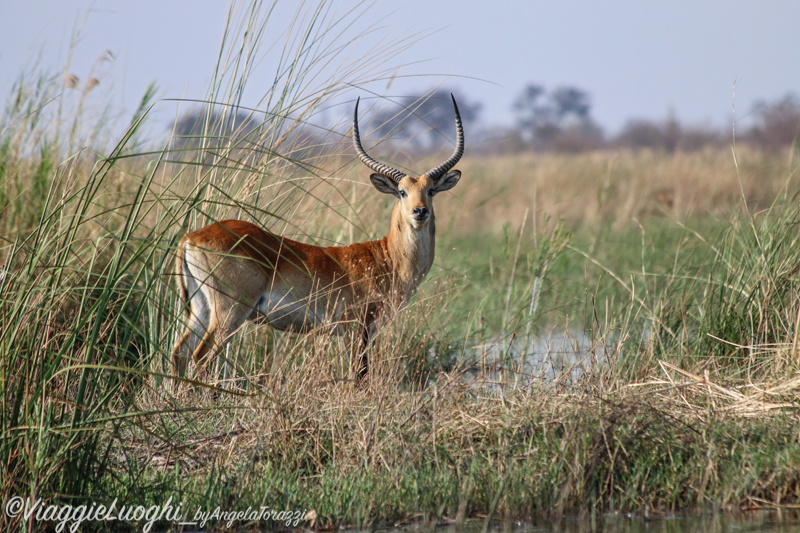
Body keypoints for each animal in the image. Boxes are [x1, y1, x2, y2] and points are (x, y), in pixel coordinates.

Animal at [172, 93, 466, 380]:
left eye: (430, 190)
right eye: (402, 191)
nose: (420, 211)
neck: (388, 260)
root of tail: (190, 238)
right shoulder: (356, 328)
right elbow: (360, 375)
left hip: (201, 310)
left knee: (180, 353)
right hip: (230, 313)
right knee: (201, 358)